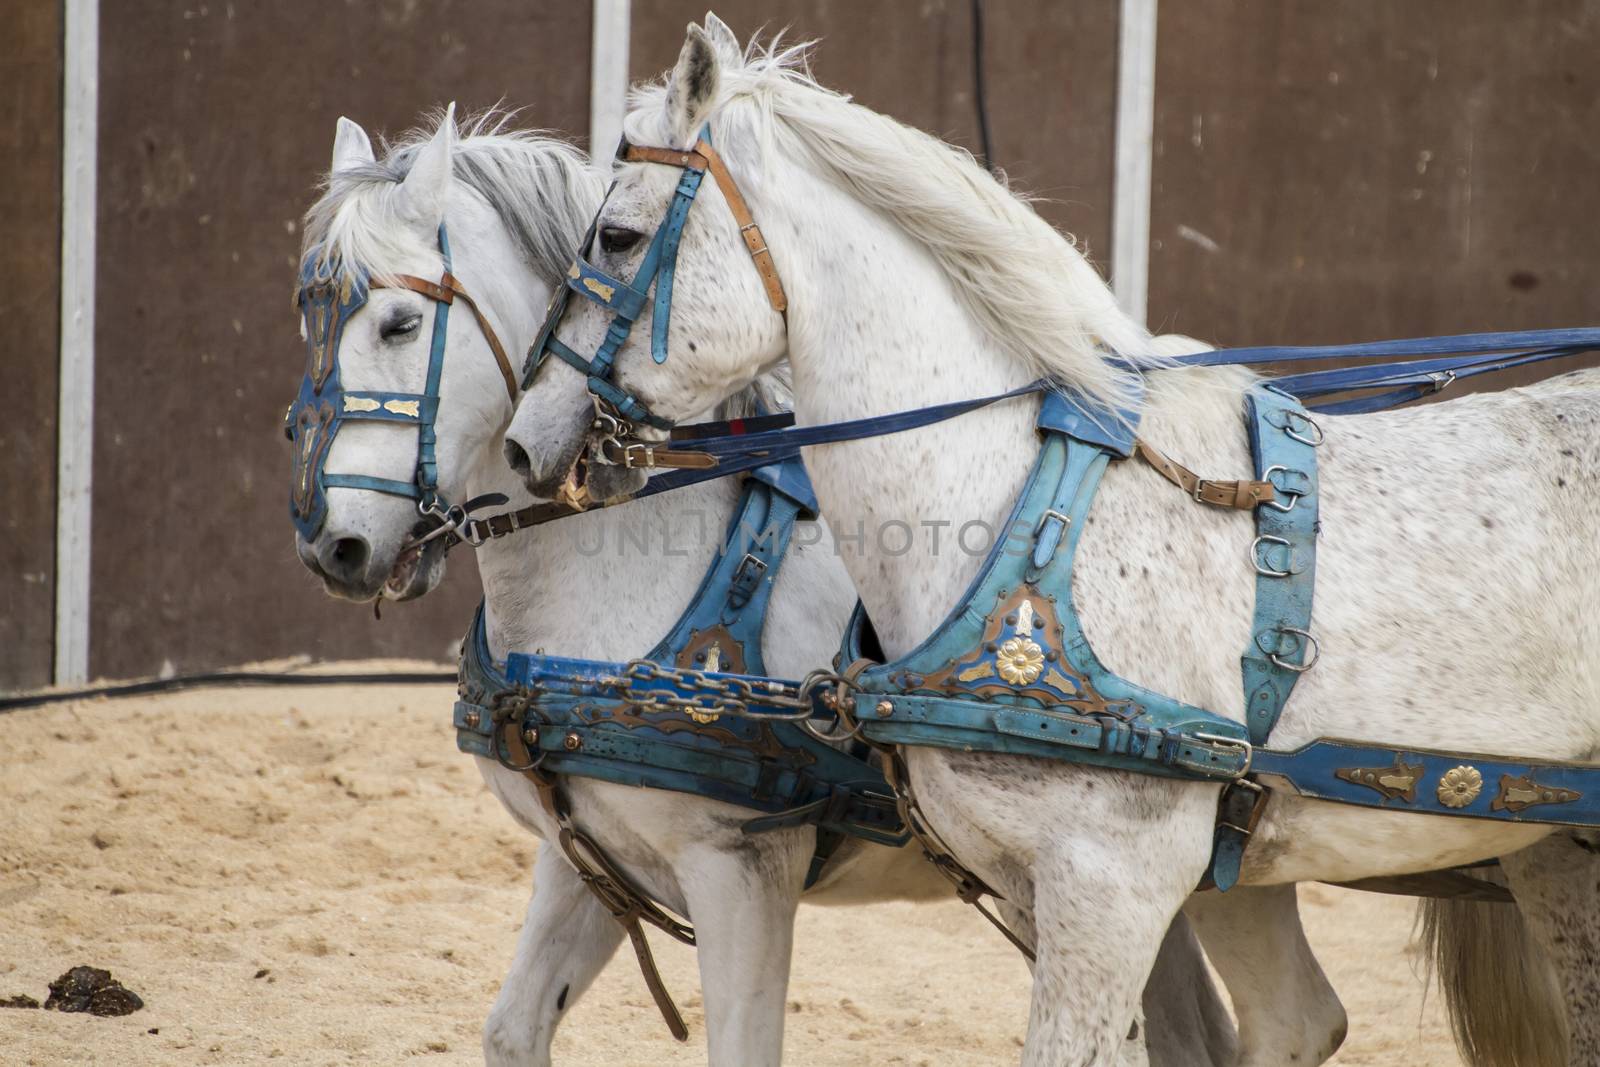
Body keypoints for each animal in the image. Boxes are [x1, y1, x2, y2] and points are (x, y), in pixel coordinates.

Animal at [297, 106, 1248, 1062]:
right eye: (311, 324)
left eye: (399, 323)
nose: (334, 545)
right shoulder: (588, 858)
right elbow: (514, 1028)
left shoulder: (740, 869)